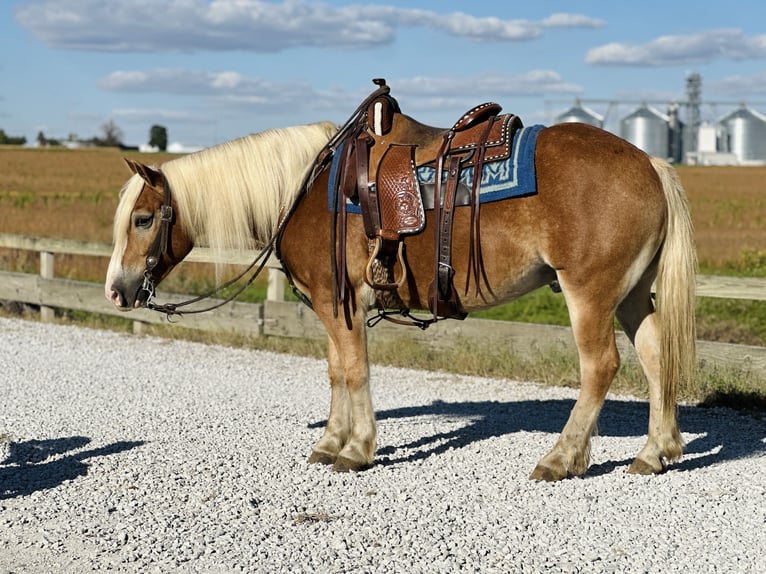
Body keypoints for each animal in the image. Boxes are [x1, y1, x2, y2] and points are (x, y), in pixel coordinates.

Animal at [105, 100, 700, 486]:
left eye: (141, 219)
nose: (116, 290)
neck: (304, 192)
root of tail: (650, 163)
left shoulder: (339, 303)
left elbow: (354, 371)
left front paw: (356, 450)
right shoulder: (333, 308)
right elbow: (335, 372)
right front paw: (329, 442)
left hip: (590, 294)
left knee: (600, 366)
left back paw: (561, 458)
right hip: (631, 295)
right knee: (655, 357)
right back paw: (656, 452)